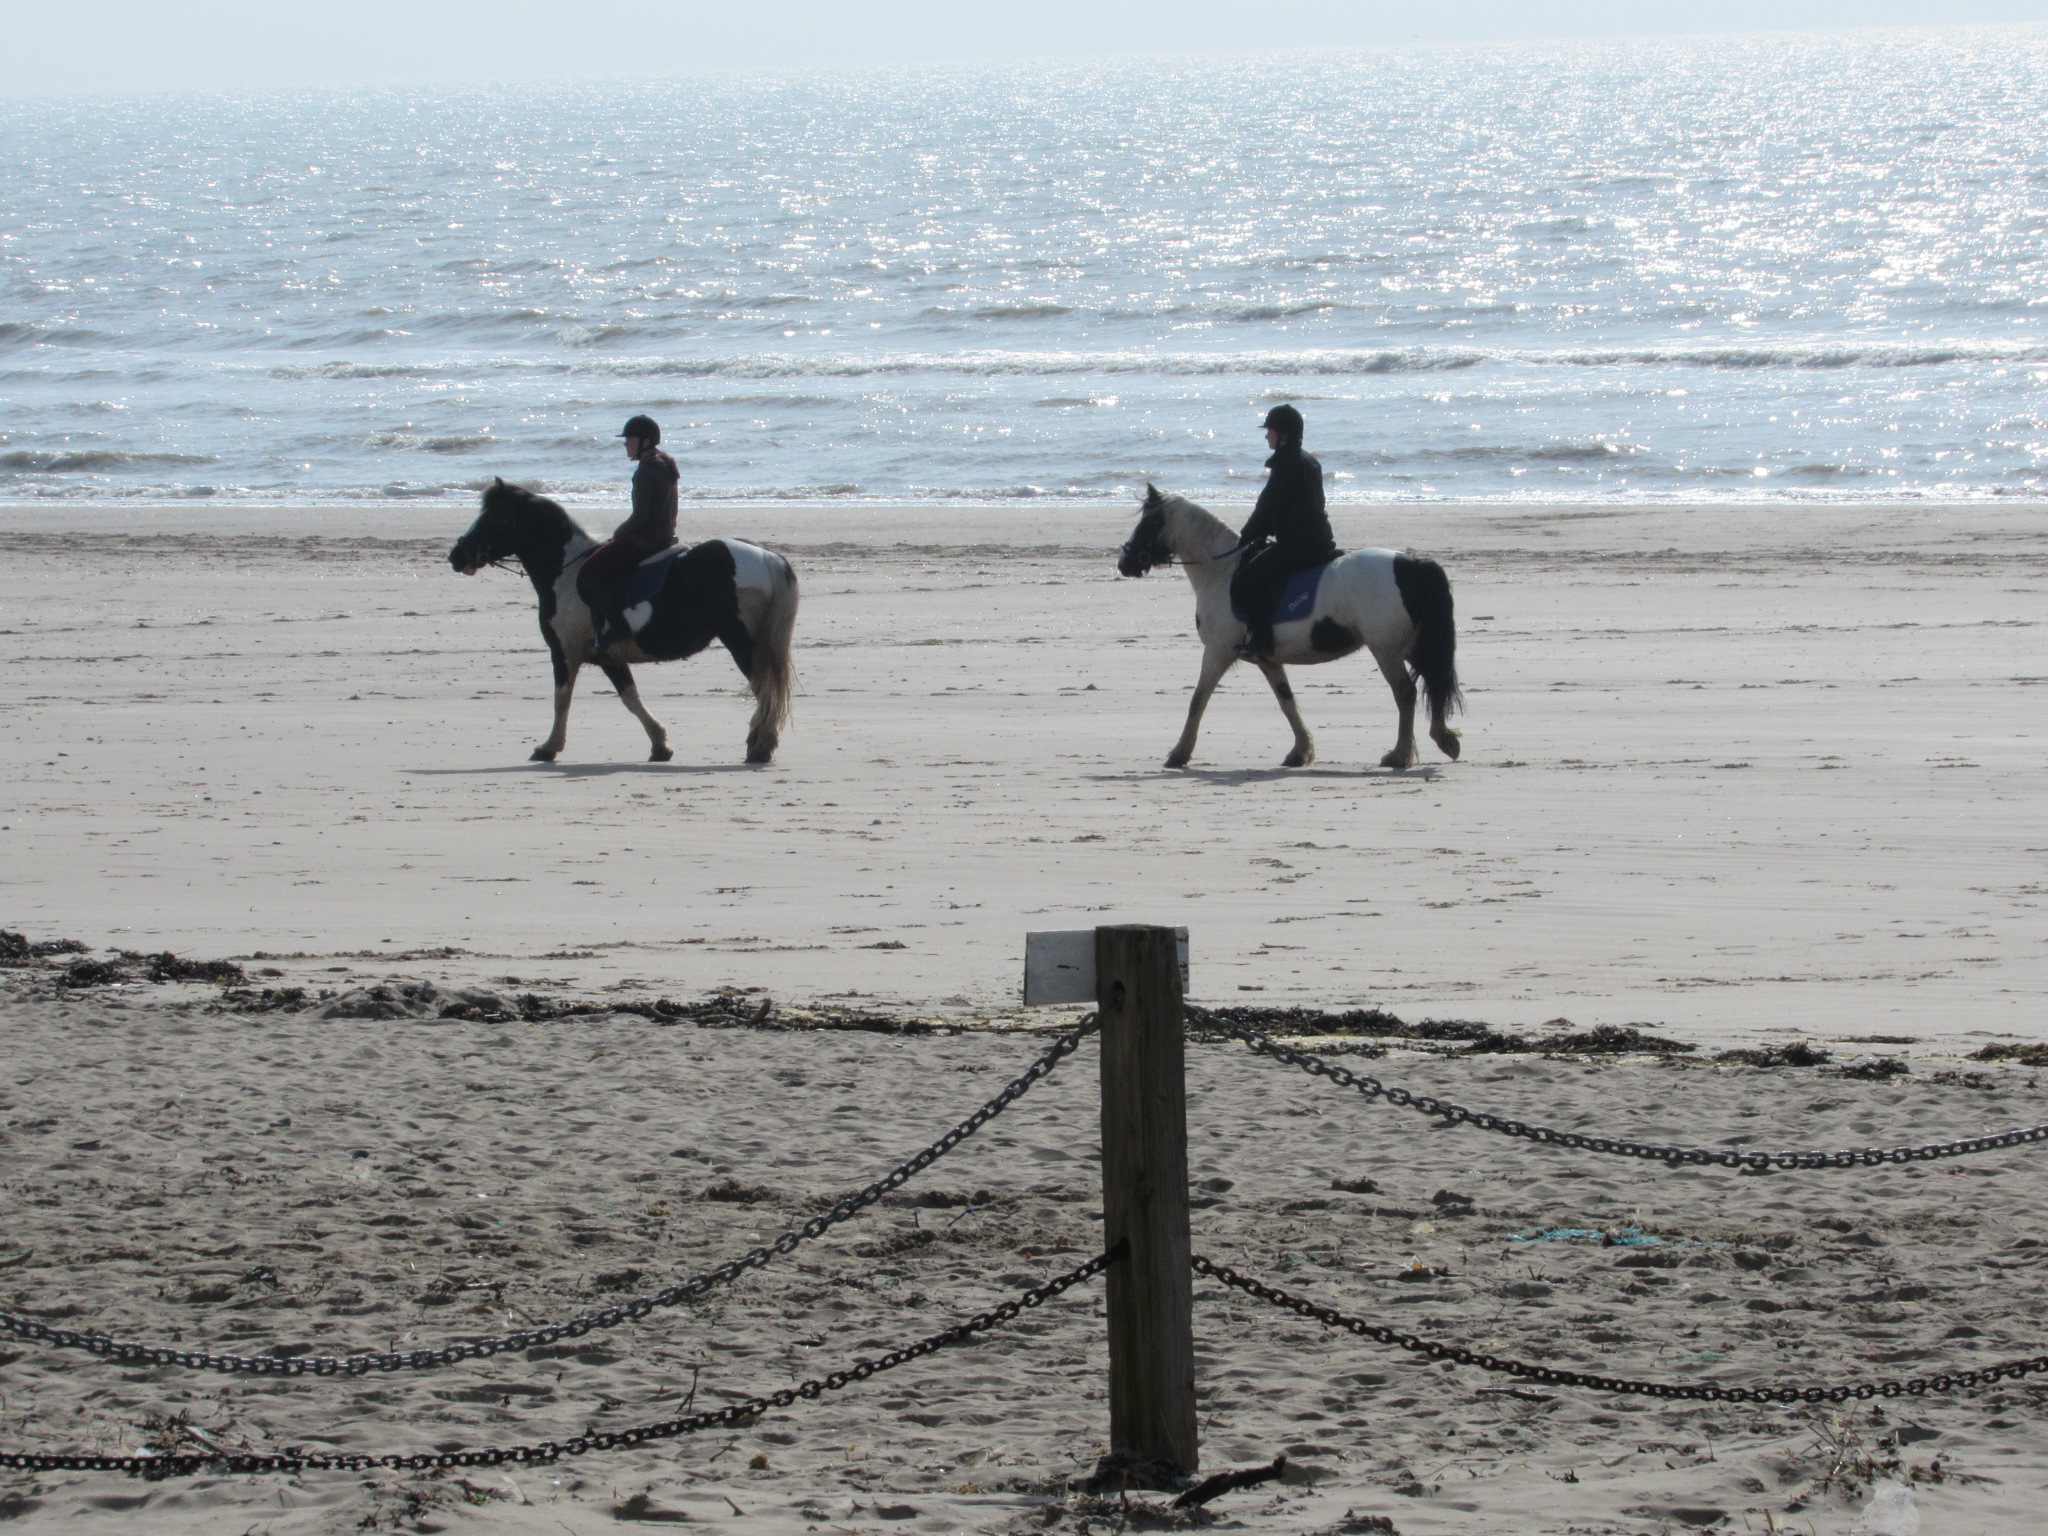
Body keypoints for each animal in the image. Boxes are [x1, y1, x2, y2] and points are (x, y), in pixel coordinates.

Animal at [450, 481, 798, 765]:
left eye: (494, 518)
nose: (456, 556)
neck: (566, 573)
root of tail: (768, 558)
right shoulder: (609, 658)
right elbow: (631, 698)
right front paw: (660, 745)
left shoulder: (564, 653)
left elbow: (562, 698)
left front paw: (549, 748)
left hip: (742, 642)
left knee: (764, 688)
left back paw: (759, 745)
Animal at [1122, 489, 1458, 774]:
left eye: (1149, 523)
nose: (1125, 562)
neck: (1222, 572)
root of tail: (1412, 564)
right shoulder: (1267, 659)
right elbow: (1287, 702)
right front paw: (1301, 752)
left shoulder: (1217, 651)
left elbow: (1198, 700)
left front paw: (1179, 754)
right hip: (1413, 645)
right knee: (1434, 682)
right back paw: (1444, 740)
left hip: (1386, 649)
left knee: (1405, 693)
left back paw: (1399, 755)